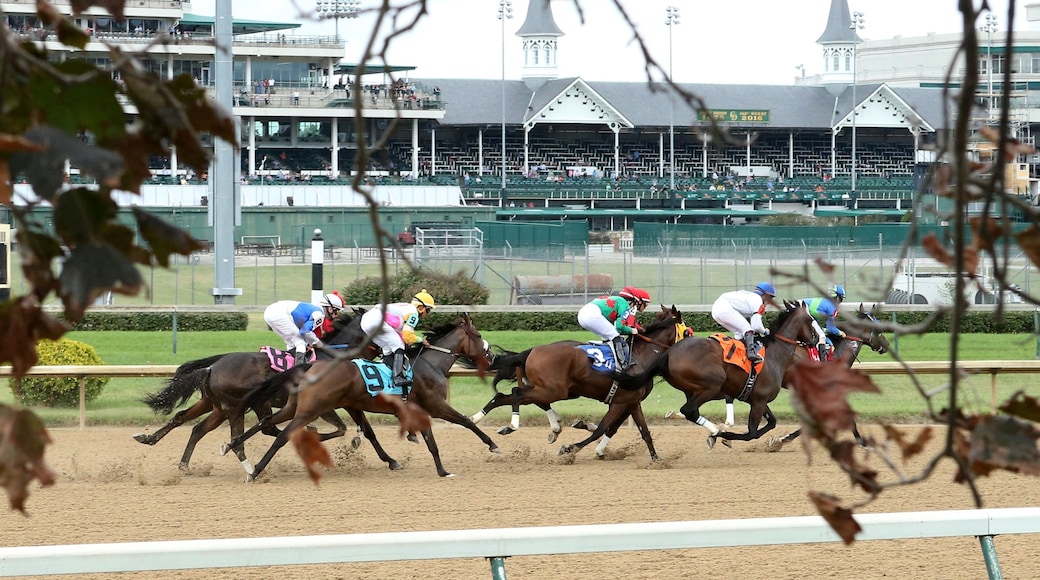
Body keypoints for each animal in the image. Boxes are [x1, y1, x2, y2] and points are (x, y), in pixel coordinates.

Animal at [134, 311, 368, 476]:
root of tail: (211, 368)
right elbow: (342, 428)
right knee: (258, 431)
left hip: (217, 406)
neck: (333, 356)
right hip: (243, 406)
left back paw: (165, 452)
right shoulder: (325, 405)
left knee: (190, 424)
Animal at [226, 313, 490, 482]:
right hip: (311, 409)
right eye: (477, 335)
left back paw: (232, 445)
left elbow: (424, 439)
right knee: (281, 434)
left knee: (266, 423)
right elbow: (464, 421)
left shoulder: (363, 406)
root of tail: (310, 367)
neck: (430, 364)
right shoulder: (435, 405)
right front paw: (491, 446)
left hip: (294, 406)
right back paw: (255, 471)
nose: (490, 355)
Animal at [472, 307, 690, 461]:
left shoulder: (632, 401)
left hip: (550, 389)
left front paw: (656, 459)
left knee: (503, 396)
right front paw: (570, 448)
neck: (640, 357)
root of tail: (532, 350)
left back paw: (481, 421)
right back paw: (514, 425)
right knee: (517, 393)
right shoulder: (621, 401)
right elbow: (603, 428)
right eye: (687, 333)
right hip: (553, 390)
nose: (692, 347)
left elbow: (639, 431)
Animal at [624, 301, 819, 446]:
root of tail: (669, 353)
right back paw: (715, 431)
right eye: (811, 320)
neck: (775, 355)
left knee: (690, 411)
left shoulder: (756, 399)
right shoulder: (759, 401)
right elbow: (752, 433)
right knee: (689, 410)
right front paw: (723, 436)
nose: (816, 339)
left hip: (692, 389)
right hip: (712, 384)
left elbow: (771, 422)